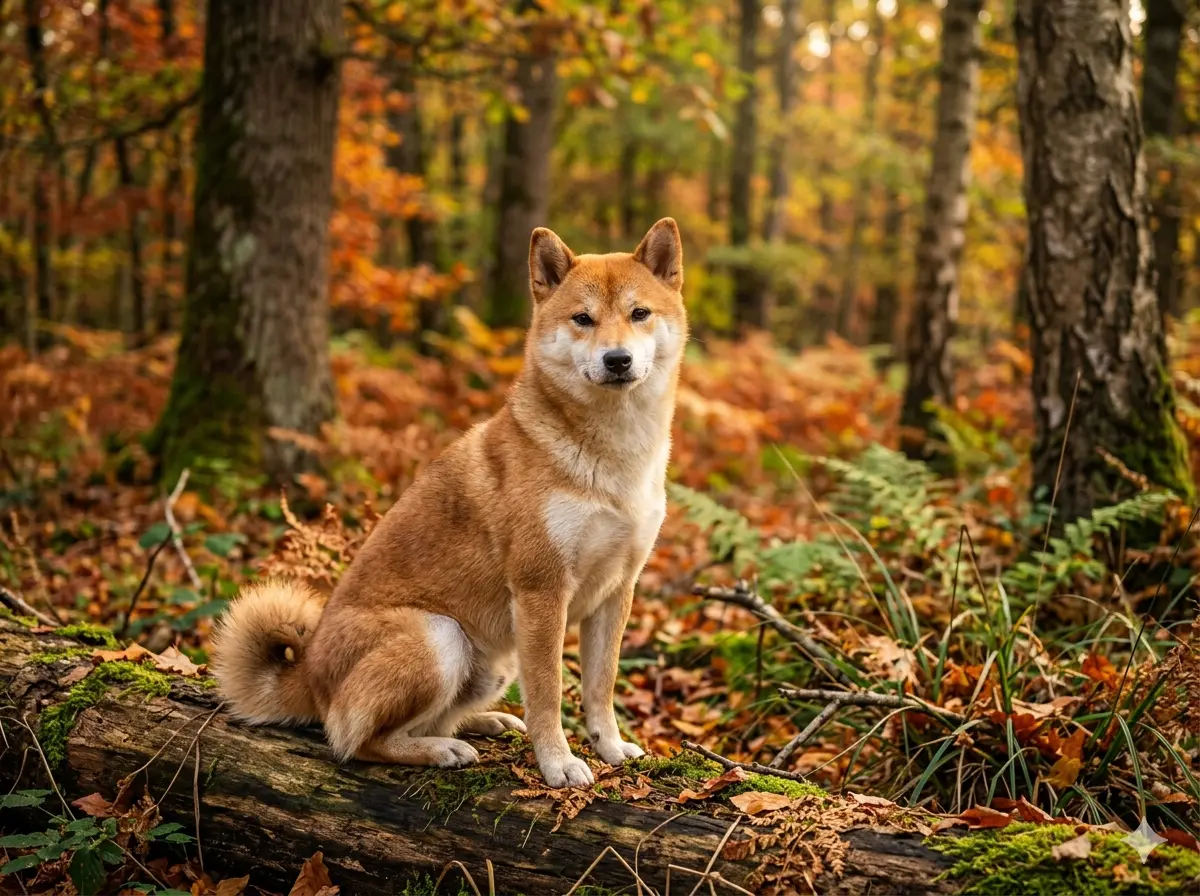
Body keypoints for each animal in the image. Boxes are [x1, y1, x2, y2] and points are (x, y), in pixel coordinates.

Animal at [211, 218, 687, 788]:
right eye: (582, 319)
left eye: (639, 313)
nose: (617, 360)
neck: (614, 456)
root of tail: (308, 676)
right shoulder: (541, 590)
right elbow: (548, 695)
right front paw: (557, 762)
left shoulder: (617, 590)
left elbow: (601, 687)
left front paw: (611, 748)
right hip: (441, 636)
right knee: (354, 741)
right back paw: (441, 750)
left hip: (494, 662)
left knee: (422, 720)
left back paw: (483, 724)